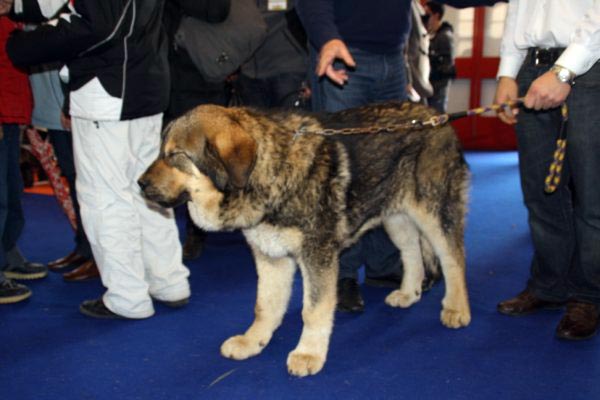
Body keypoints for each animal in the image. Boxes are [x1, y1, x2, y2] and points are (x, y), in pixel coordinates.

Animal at [138, 101, 472, 376]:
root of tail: (436, 116)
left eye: (175, 156)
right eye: (160, 151)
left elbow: (313, 310)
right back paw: (408, 293)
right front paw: (253, 341)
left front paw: (308, 354)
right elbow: (264, 306)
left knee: (453, 259)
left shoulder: (317, 258)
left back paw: (457, 309)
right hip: (395, 218)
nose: (139, 184)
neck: (270, 173)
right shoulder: (271, 257)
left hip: (434, 214)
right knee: (412, 253)